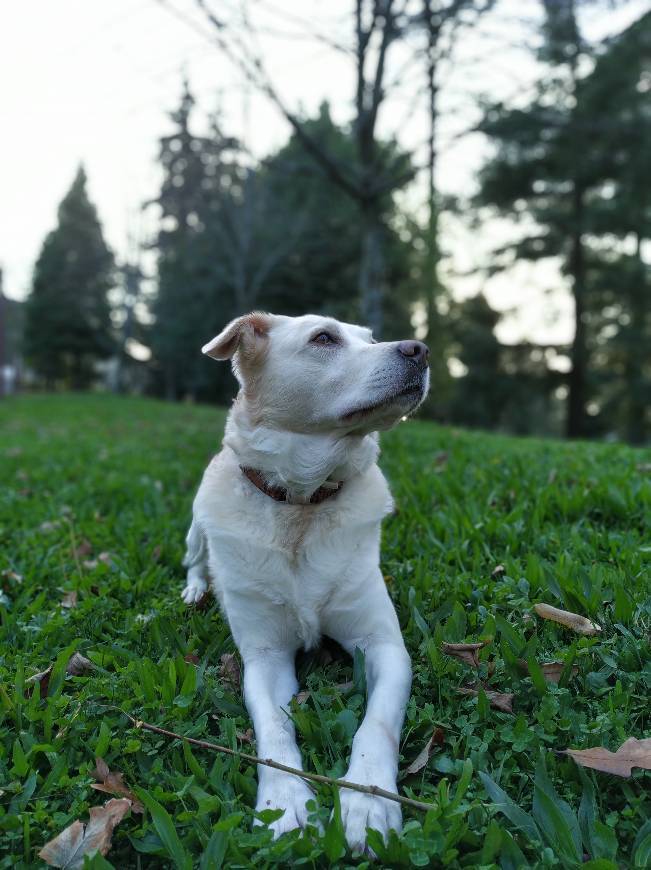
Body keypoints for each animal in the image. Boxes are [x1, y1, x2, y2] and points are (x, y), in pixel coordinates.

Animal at [181, 314, 430, 852]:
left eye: (372, 338)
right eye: (324, 338)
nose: (419, 350)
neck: (301, 502)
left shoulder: (384, 646)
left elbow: (376, 725)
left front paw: (367, 801)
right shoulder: (264, 657)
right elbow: (274, 731)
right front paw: (286, 804)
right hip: (195, 526)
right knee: (195, 558)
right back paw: (195, 588)